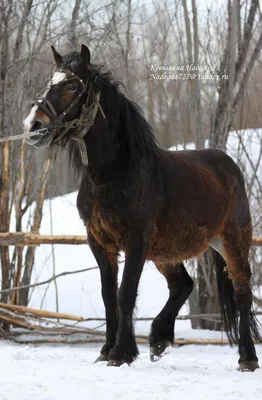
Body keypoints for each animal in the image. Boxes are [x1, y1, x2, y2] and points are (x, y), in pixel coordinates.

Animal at [23, 45, 260, 370]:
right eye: (50, 81)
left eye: (72, 85)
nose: (33, 126)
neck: (115, 173)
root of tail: (229, 165)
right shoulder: (100, 242)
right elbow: (109, 295)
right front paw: (106, 350)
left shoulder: (135, 242)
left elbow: (126, 294)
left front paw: (120, 353)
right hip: (166, 251)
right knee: (183, 285)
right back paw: (159, 339)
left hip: (233, 240)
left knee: (242, 293)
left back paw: (247, 358)